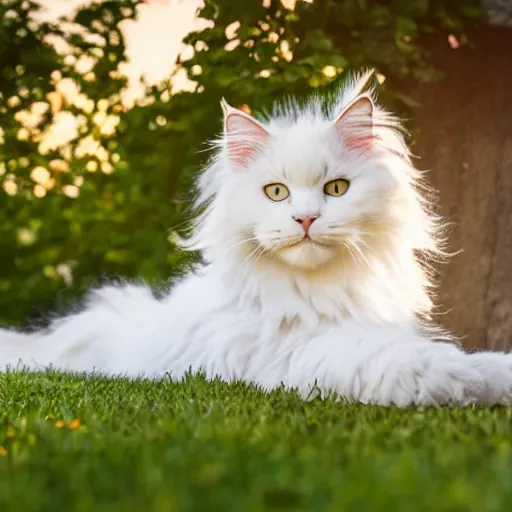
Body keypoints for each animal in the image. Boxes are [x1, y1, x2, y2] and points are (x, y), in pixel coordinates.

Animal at [1, 73, 512, 408]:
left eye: (336, 189)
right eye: (277, 192)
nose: (306, 218)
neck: (319, 293)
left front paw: (494, 376)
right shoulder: (301, 356)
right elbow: (409, 362)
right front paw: (462, 381)